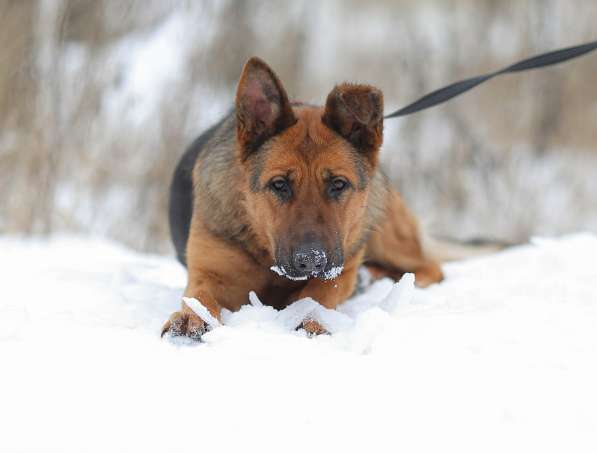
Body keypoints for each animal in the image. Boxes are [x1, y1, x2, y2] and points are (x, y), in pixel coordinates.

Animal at [162, 56, 442, 338]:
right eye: (279, 184)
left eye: (338, 184)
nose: (311, 261)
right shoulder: (210, 271)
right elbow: (199, 296)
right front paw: (192, 317)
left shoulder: (341, 270)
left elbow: (318, 293)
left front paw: (312, 318)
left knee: (429, 267)